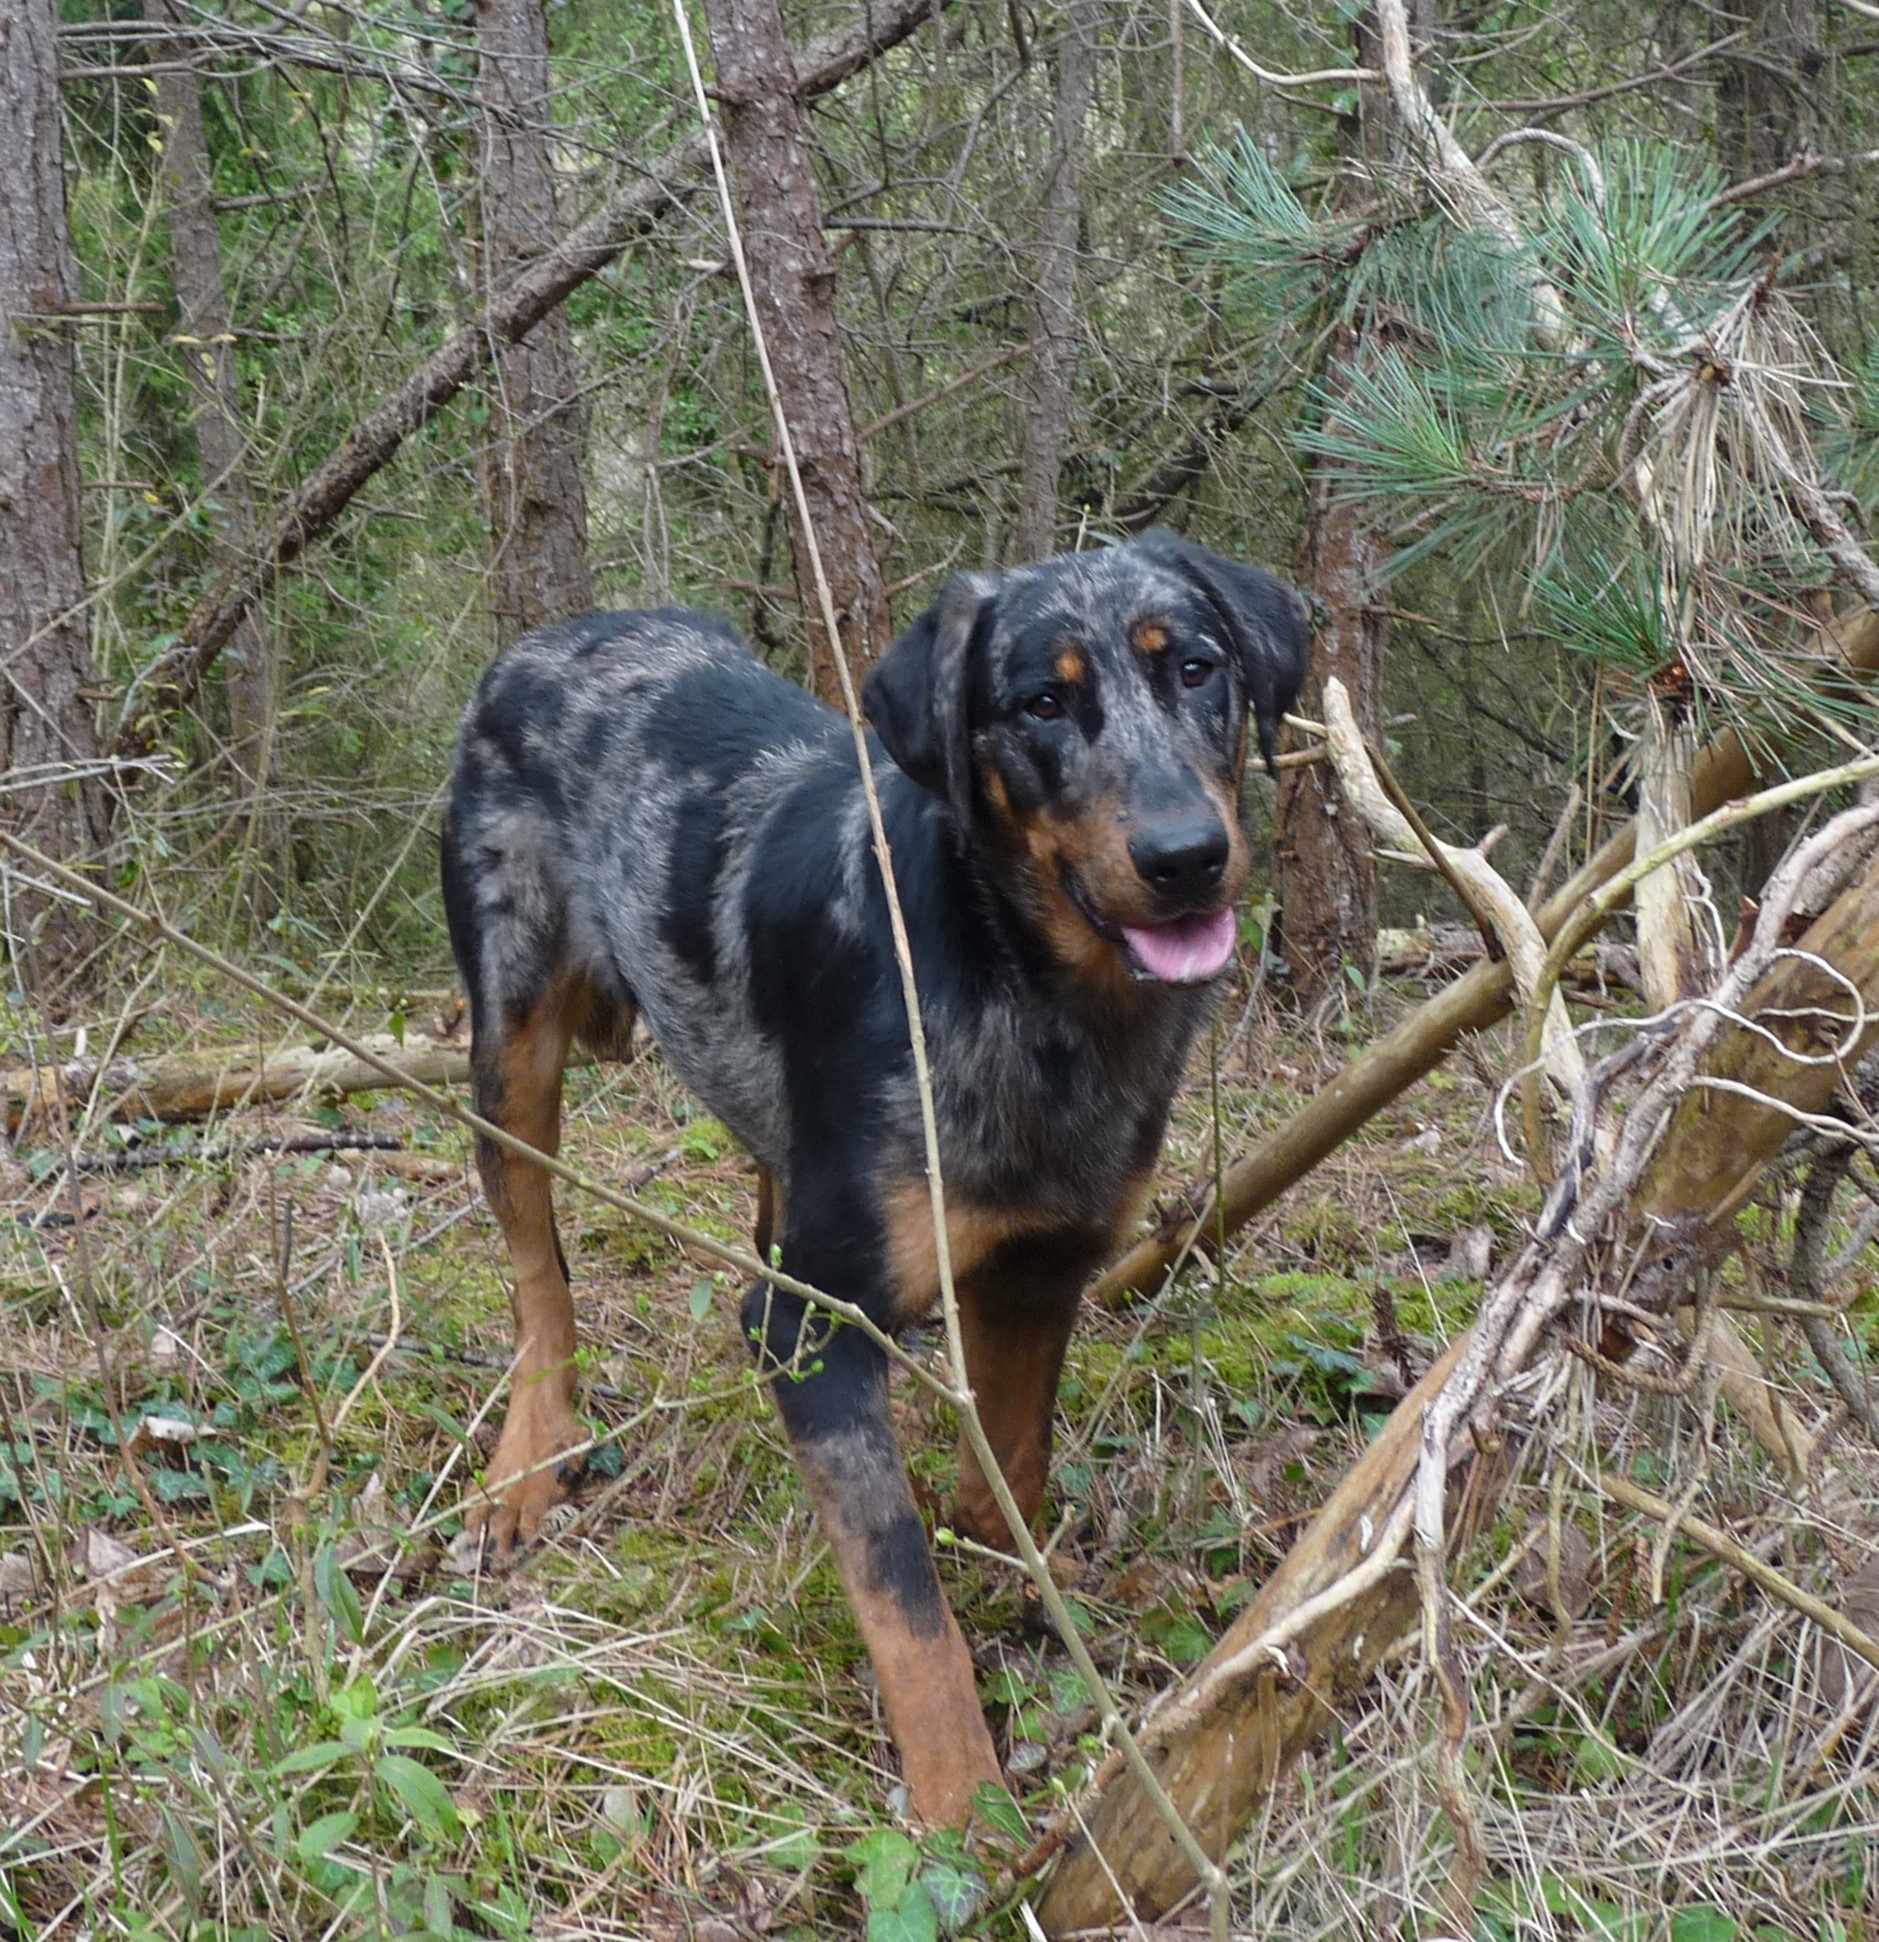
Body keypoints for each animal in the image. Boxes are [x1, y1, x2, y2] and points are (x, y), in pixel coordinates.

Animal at [440, 528, 1304, 1817]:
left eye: (1196, 668)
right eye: (1040, 702)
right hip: (512, 1042)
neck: (1033, 999)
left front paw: (1010, 1587)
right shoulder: (813, 1322)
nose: (1186, 857)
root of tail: (552, 638)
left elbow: (1011, 1467)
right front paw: (966, 1810)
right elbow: (903, 1601)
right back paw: (527, 1460)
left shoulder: (1040, 1270)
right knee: (537, 1269)